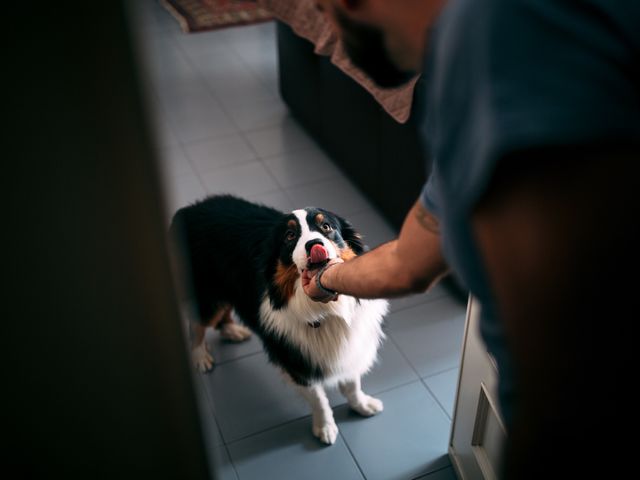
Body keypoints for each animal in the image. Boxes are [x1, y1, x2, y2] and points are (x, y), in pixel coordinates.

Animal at [170, 193, 388, 444]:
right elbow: (318, 399)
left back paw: (233, 331)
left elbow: (352, 383)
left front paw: (362, 405)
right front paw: (325, 427)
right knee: (198, 323)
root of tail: (189, 209)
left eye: (326, 227)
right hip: (207, 292)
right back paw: (200, 356)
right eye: (290, 236)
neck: (324, 311)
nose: (314, 245)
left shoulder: (352, 344)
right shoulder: (294, 357)